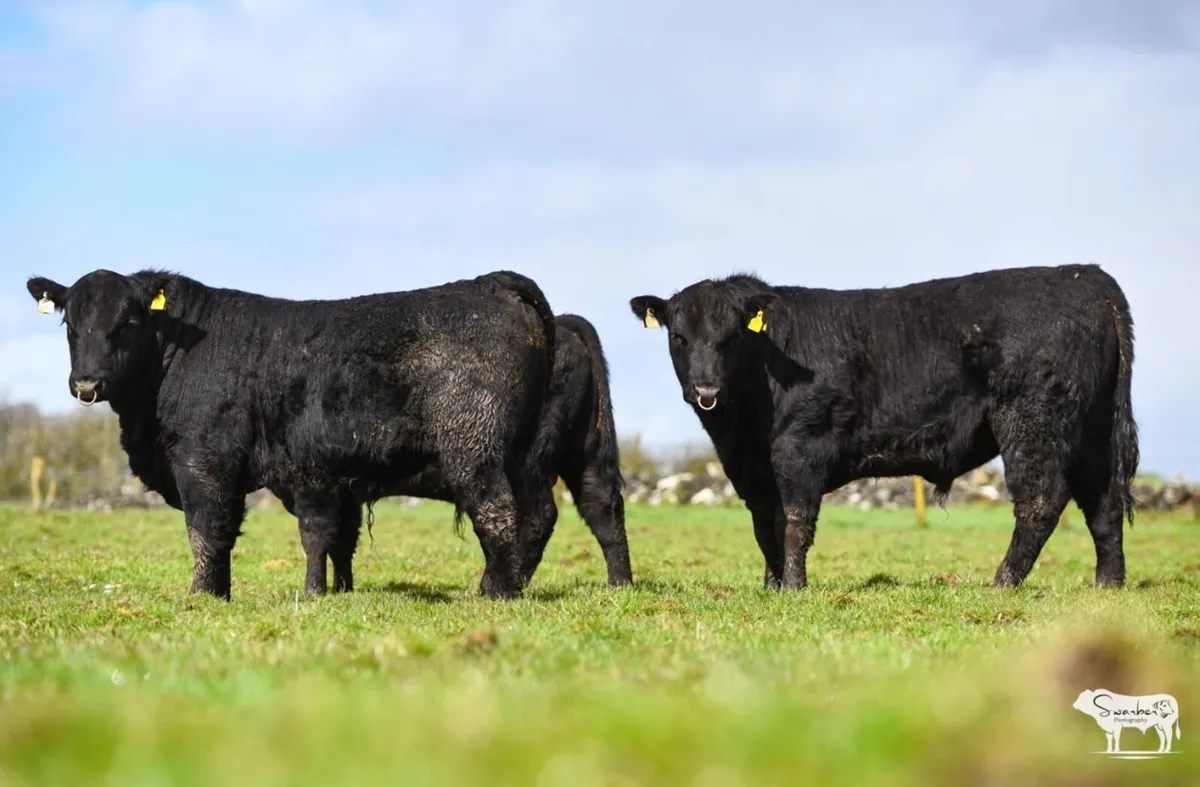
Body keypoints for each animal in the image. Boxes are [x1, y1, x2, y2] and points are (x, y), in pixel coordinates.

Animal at [26, 268, 556, 601]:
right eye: (70, 325)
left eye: (128, 321)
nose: (87, 383)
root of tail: (492, 283)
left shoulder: (204, 460)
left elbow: (207, 530)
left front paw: (202, 597)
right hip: (524, 452)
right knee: (536, 513)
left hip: (474, 444)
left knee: (497, 510)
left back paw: (498, 592)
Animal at [629, 264, 1138, 590]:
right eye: (679, 337)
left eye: (732, 336)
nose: (706, 388)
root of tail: (1084, 274)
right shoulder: (752, 469)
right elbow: (763, 525)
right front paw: (770, 585)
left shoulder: (799, 448)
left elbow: (794, 521)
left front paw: (793, 586)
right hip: (1092, 430)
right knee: (1103, 503)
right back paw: (1107, 584)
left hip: (1032, 422)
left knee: (1041, 501)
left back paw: (1002, 582)